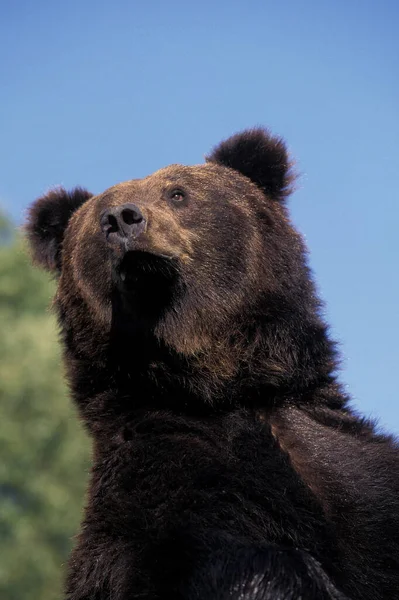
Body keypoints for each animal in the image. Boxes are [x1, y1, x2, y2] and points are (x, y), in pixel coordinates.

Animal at [26, 129, 399, 596]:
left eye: (177, 193)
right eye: (97, 221)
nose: (123, 219)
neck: (225, 390)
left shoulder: (354, 474)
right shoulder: (166, 487)